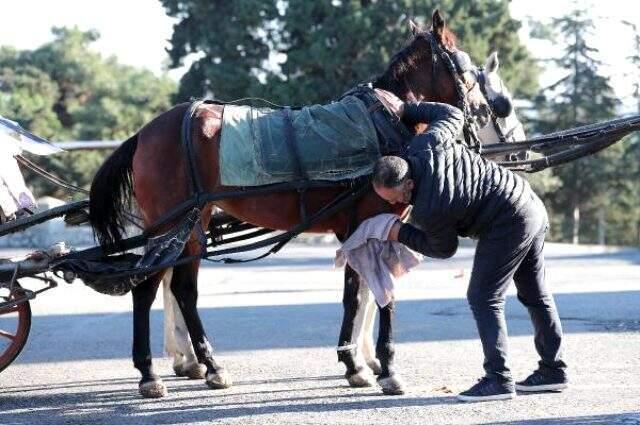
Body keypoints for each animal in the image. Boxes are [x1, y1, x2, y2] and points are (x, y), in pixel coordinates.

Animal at [87, 9, 492, 396]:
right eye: (467, 64)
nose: (487, 110)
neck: (385, 121)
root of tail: (145, 133)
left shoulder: (356, 230)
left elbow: (355, 294)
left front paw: (354, 364)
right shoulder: (376, 226)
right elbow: (381, 295)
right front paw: (386, 369)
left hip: (193, 226)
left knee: (184, 290)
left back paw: (211, 367)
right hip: (169, 226)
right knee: (146, 288)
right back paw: (149, 374)